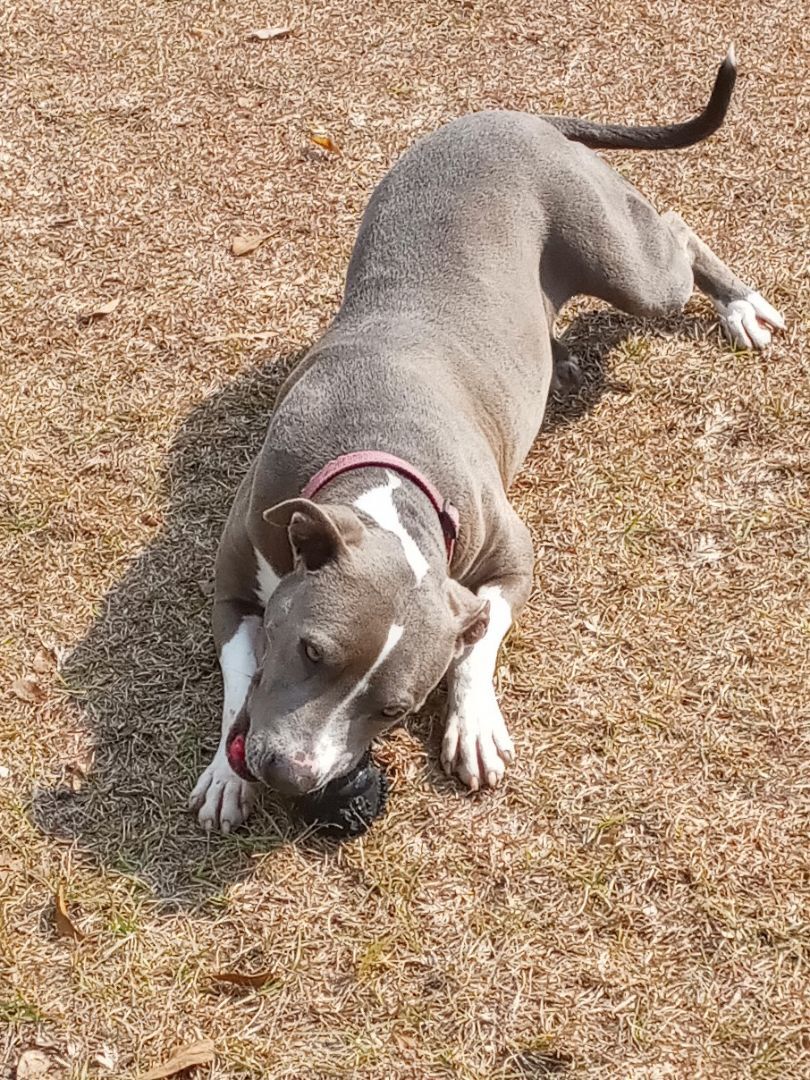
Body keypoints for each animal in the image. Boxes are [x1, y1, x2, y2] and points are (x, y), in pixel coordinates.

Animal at [190, 46, 786, 829]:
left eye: (395, 708)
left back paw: (740, 306)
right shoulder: (233, 579)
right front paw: (224, 775)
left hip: (628, 268)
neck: (381, 457)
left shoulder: (511, 555)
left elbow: (479, 638)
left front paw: (473, 724)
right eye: (311, 651)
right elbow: (239, 670)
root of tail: (518, 116)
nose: (293, 774)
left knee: (679, 232)